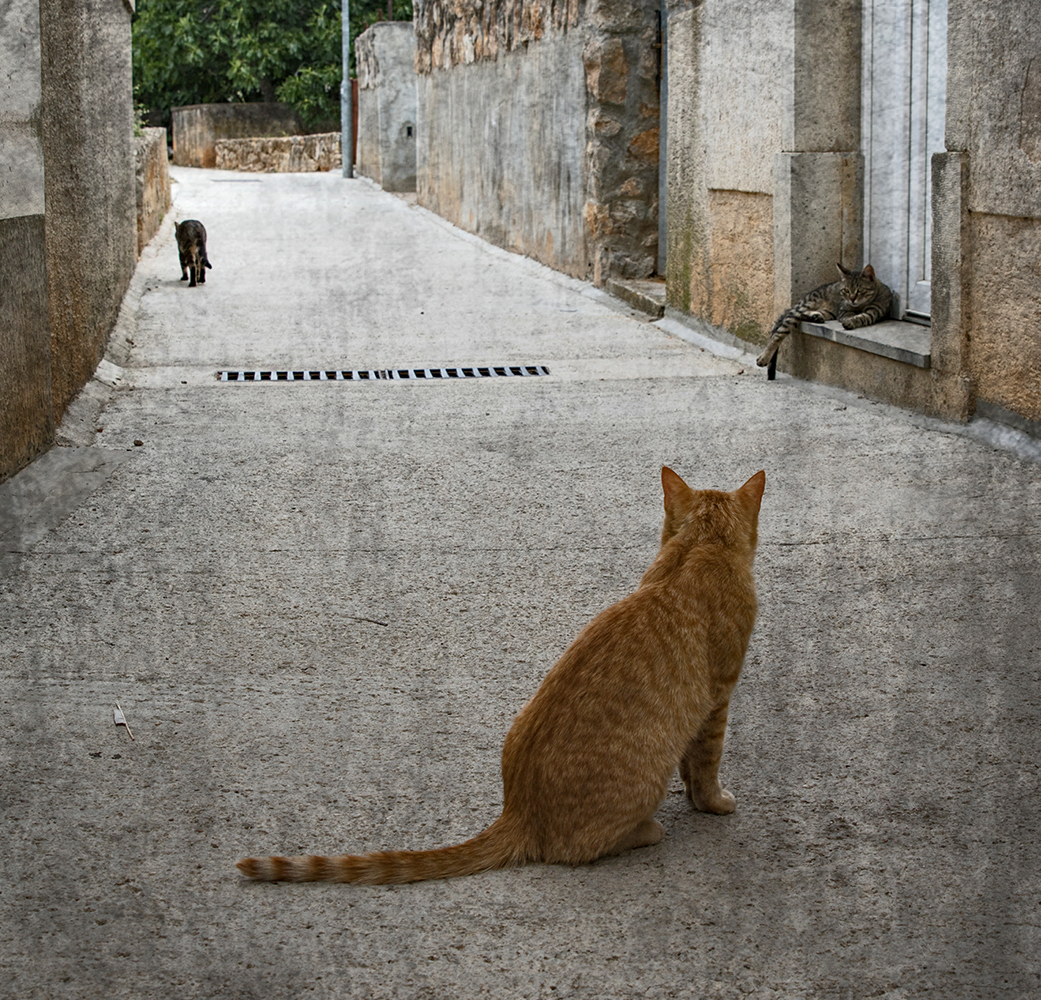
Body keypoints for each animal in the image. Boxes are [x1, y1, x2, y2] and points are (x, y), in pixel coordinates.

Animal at [757, 261, 895, 378]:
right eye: (846, 290)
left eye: (860, 290)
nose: (852, 299)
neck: (860, 306)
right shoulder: (843, 311)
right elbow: (850, 315)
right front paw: (850, 320)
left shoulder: (874, 312)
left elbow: (862, 317)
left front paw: (852, 320)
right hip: (803, 308)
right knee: (779, 332)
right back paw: (764, 356)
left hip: (828, 313)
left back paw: (816, 316)